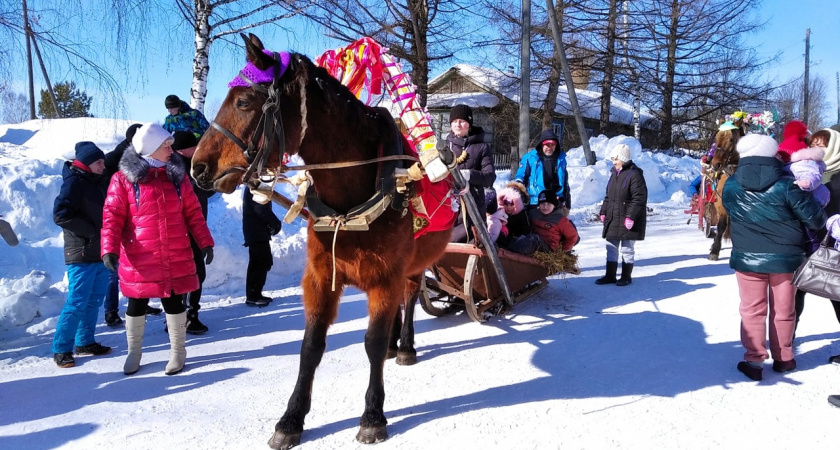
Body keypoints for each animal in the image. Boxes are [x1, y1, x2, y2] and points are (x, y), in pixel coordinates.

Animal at [191, 34, 452, 446]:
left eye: (244, 102)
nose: (197, 167)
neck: (351, 198)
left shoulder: (385, 278)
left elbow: (372, 342)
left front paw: (373, 414)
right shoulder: (319, 278)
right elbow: (311, 346)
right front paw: (291, 419)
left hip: (413, 266)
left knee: (409, 297)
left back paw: (405, 345)